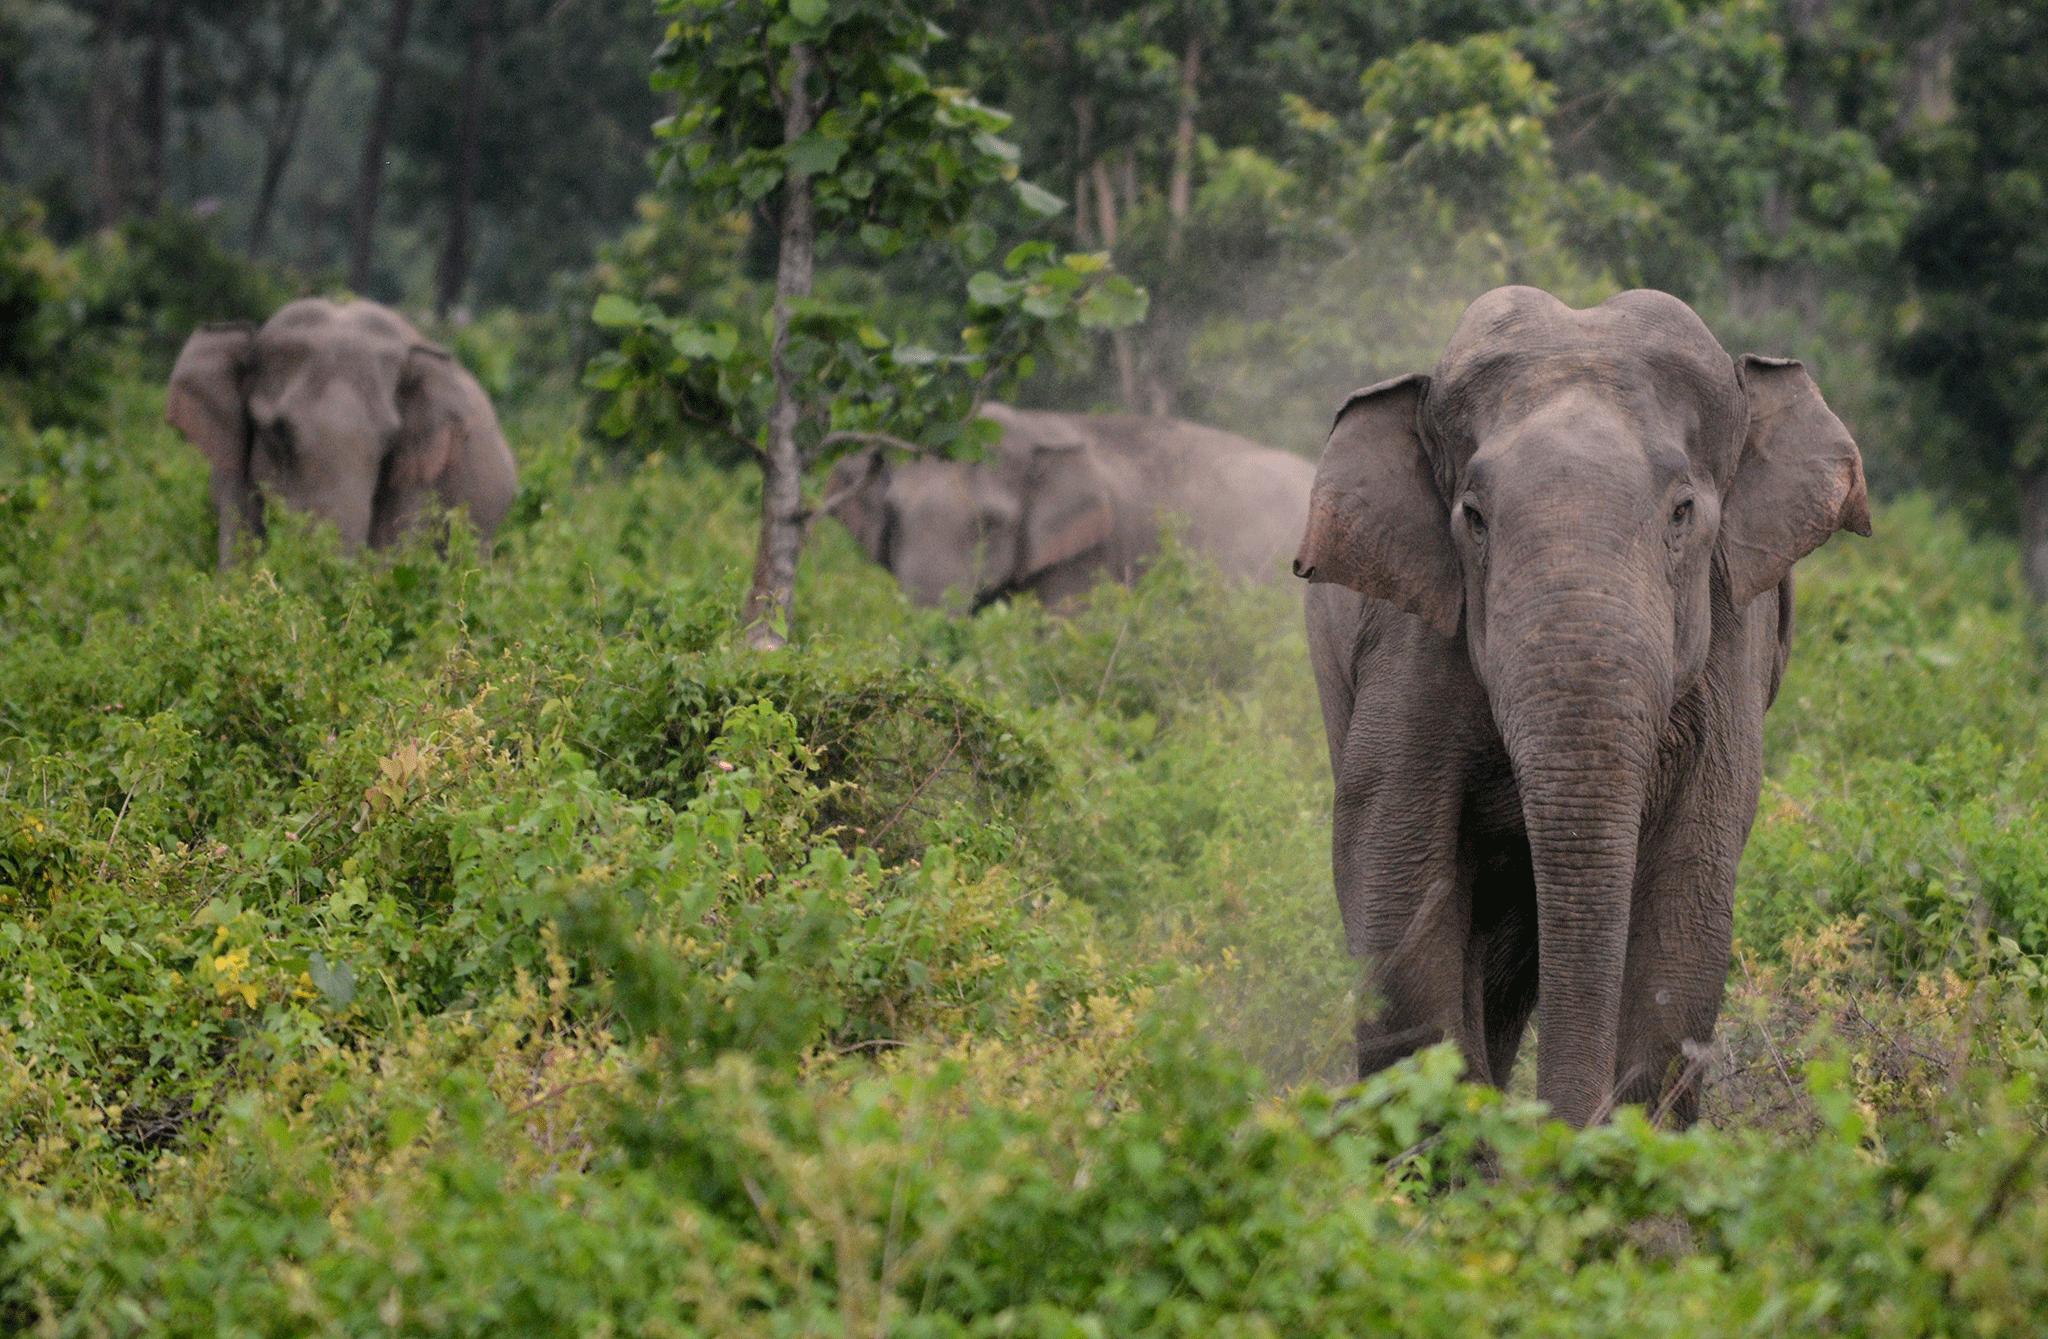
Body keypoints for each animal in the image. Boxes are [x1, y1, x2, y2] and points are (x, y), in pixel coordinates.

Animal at [1294, 286, 1875, 1130]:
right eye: (1473, 517)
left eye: (1682, 513)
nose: (1562, 1131)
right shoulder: (1412, 639)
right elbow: (1394, 853)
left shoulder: (1731, 632)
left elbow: (1690, 880)